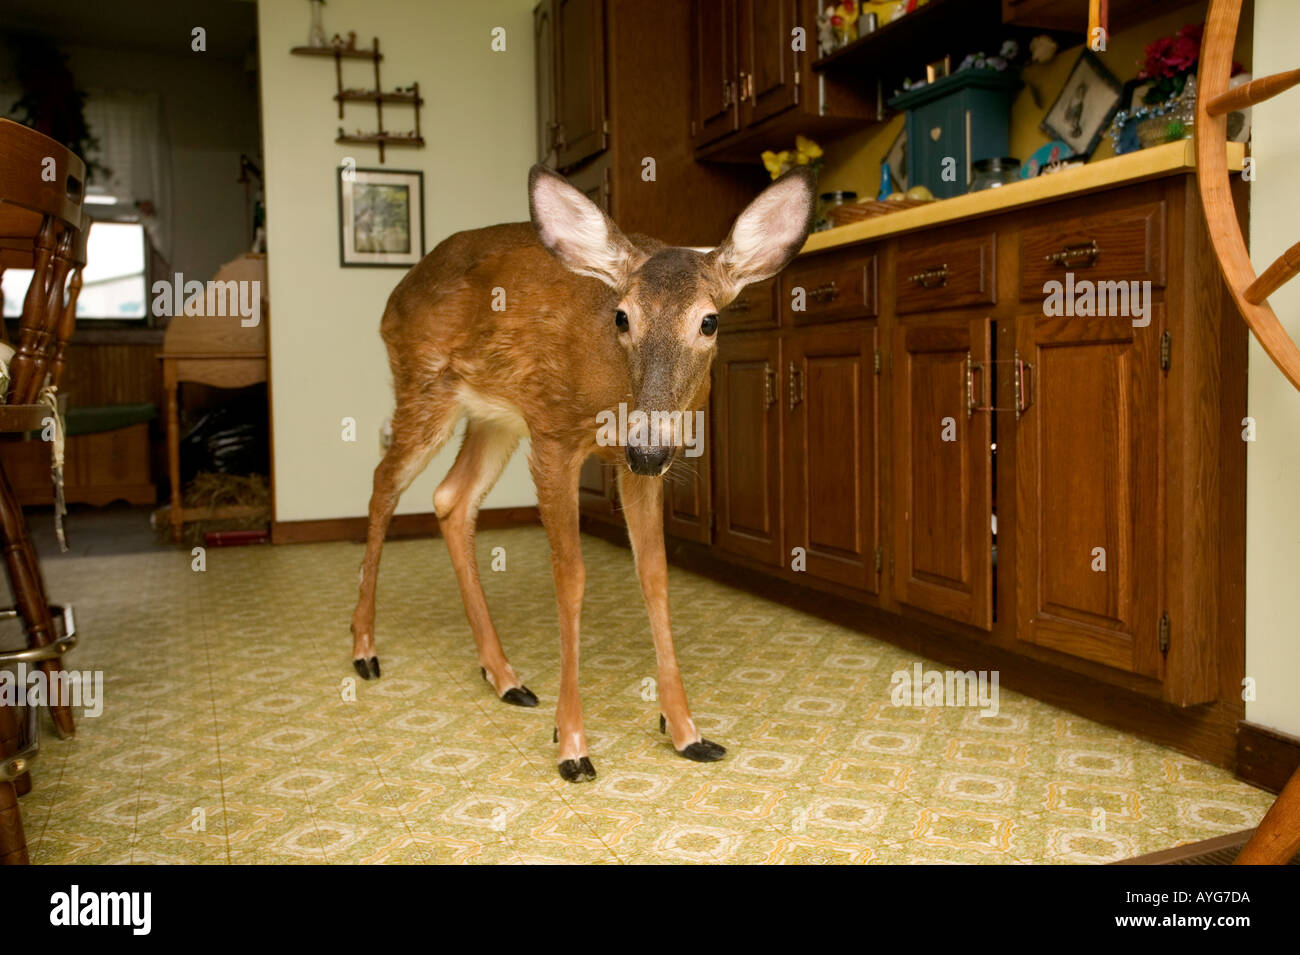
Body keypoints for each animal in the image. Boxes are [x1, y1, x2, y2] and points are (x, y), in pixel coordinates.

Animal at [350, 163, 816, 782]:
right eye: (622, 316)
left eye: (710, 321)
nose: (647, 447)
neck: (614, 397)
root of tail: (392, 299)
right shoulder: (553, 436)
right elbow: (570, 578)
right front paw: (572, 745)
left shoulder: (637, 466)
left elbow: (655, 574)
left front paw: (687, 731)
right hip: (426, 386)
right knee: (384, 483)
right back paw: (364, 649)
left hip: (495, 417)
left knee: (451, 497)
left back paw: (505, 678)